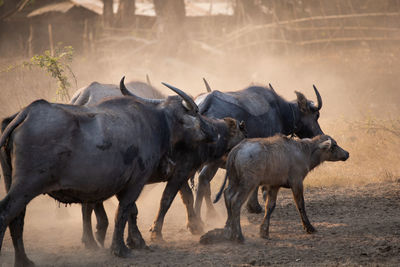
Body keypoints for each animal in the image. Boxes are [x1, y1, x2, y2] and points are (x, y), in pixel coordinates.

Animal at [0, 76, 219, 266]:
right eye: (195, 112)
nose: (213, 131)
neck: (154, 124)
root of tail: (26, 113)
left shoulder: (126, 184)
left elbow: (131, 212)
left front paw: (137, 242)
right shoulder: (136, 182)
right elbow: (122, 212)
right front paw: (120, 249)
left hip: (13, 182)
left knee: (17, 219)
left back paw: (24, 260)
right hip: (26, 185)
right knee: (6, 213)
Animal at [194, 81, 324, 220]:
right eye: (316, 115)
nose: (320, 134)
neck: (281, 113)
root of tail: (203, 106)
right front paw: (255, 206)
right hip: (214, 160)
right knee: (203, 178)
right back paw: (205, 216)